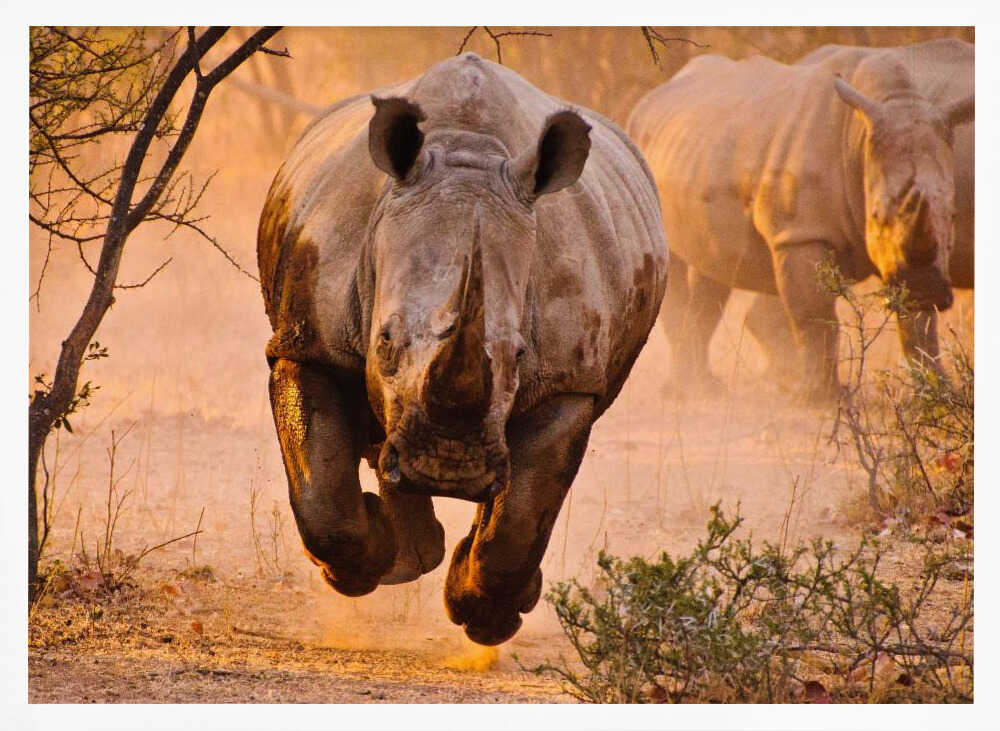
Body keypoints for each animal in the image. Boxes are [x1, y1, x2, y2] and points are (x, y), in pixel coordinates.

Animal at [257, 53, 667, 645]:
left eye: (519, 355)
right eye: (385, 340)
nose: (447, 466)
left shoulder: (568, 382)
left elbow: (520, 517)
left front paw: (485, 616)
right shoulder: (307, 341)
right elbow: (323, 496)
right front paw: (360, 565)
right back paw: (406, 554)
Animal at [626, 39, 974, 399]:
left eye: (952, 215)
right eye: (877, 215)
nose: (926, 288)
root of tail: (651, 96)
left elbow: (918, 325)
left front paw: (939, 394)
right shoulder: (801, 233)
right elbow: (816, 318)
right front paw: (824, 399)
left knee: (713, 266)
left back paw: (705, 387)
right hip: (644, 148)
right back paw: (691, 392)